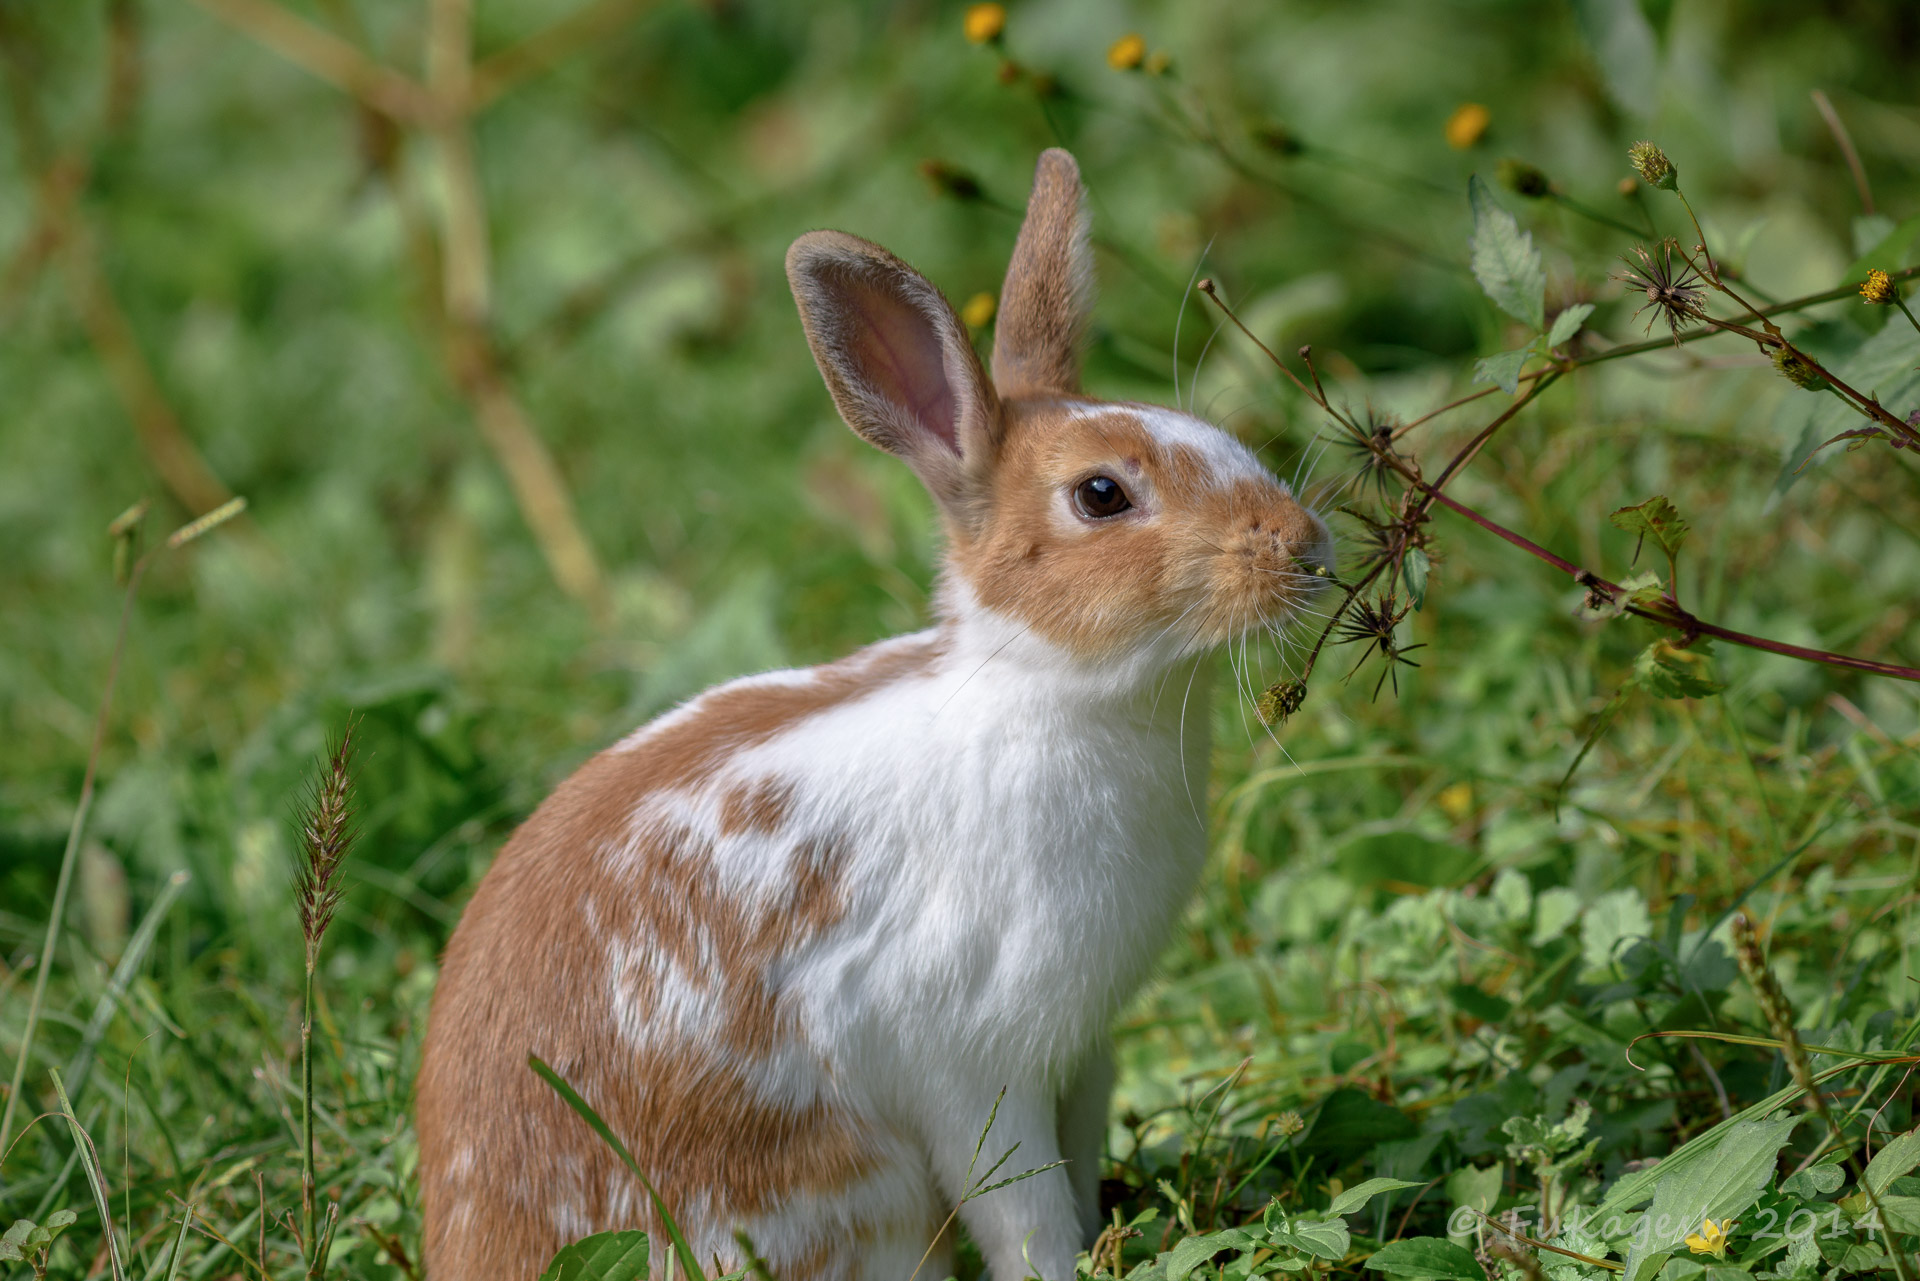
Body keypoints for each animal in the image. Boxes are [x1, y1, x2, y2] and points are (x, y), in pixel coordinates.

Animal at [412, 150, 1328, 1281]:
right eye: (1102, 495)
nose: (1306, 544)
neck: (1048, 692)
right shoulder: (976, 1065)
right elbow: (1023, 1207)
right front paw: (1065, 1269)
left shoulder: (1084, 1052)